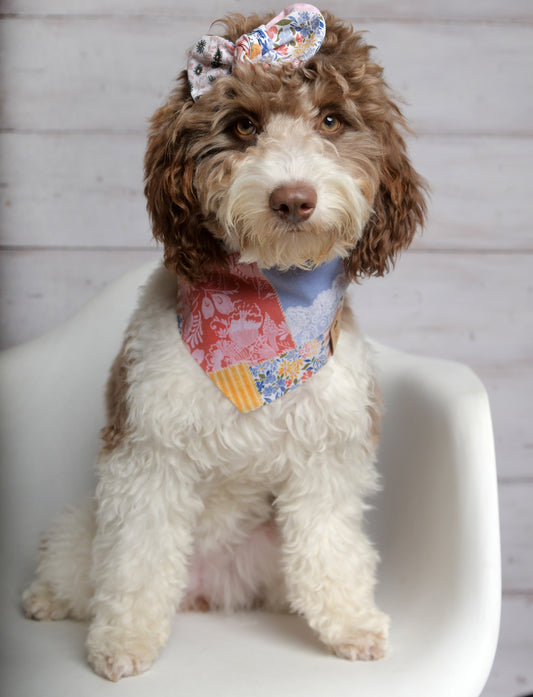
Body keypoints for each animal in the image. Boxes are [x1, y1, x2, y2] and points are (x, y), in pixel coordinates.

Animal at [22, 4, 426, 680]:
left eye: (331, 119)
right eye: (243, 126)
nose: (293, 199)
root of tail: (217, 588)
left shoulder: (327, 457)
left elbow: (333, 546)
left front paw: (351, 624)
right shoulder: (147, 454)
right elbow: (138, 558)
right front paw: (124, 641)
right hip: (88, 522)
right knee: (83, 564)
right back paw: (49, 597)